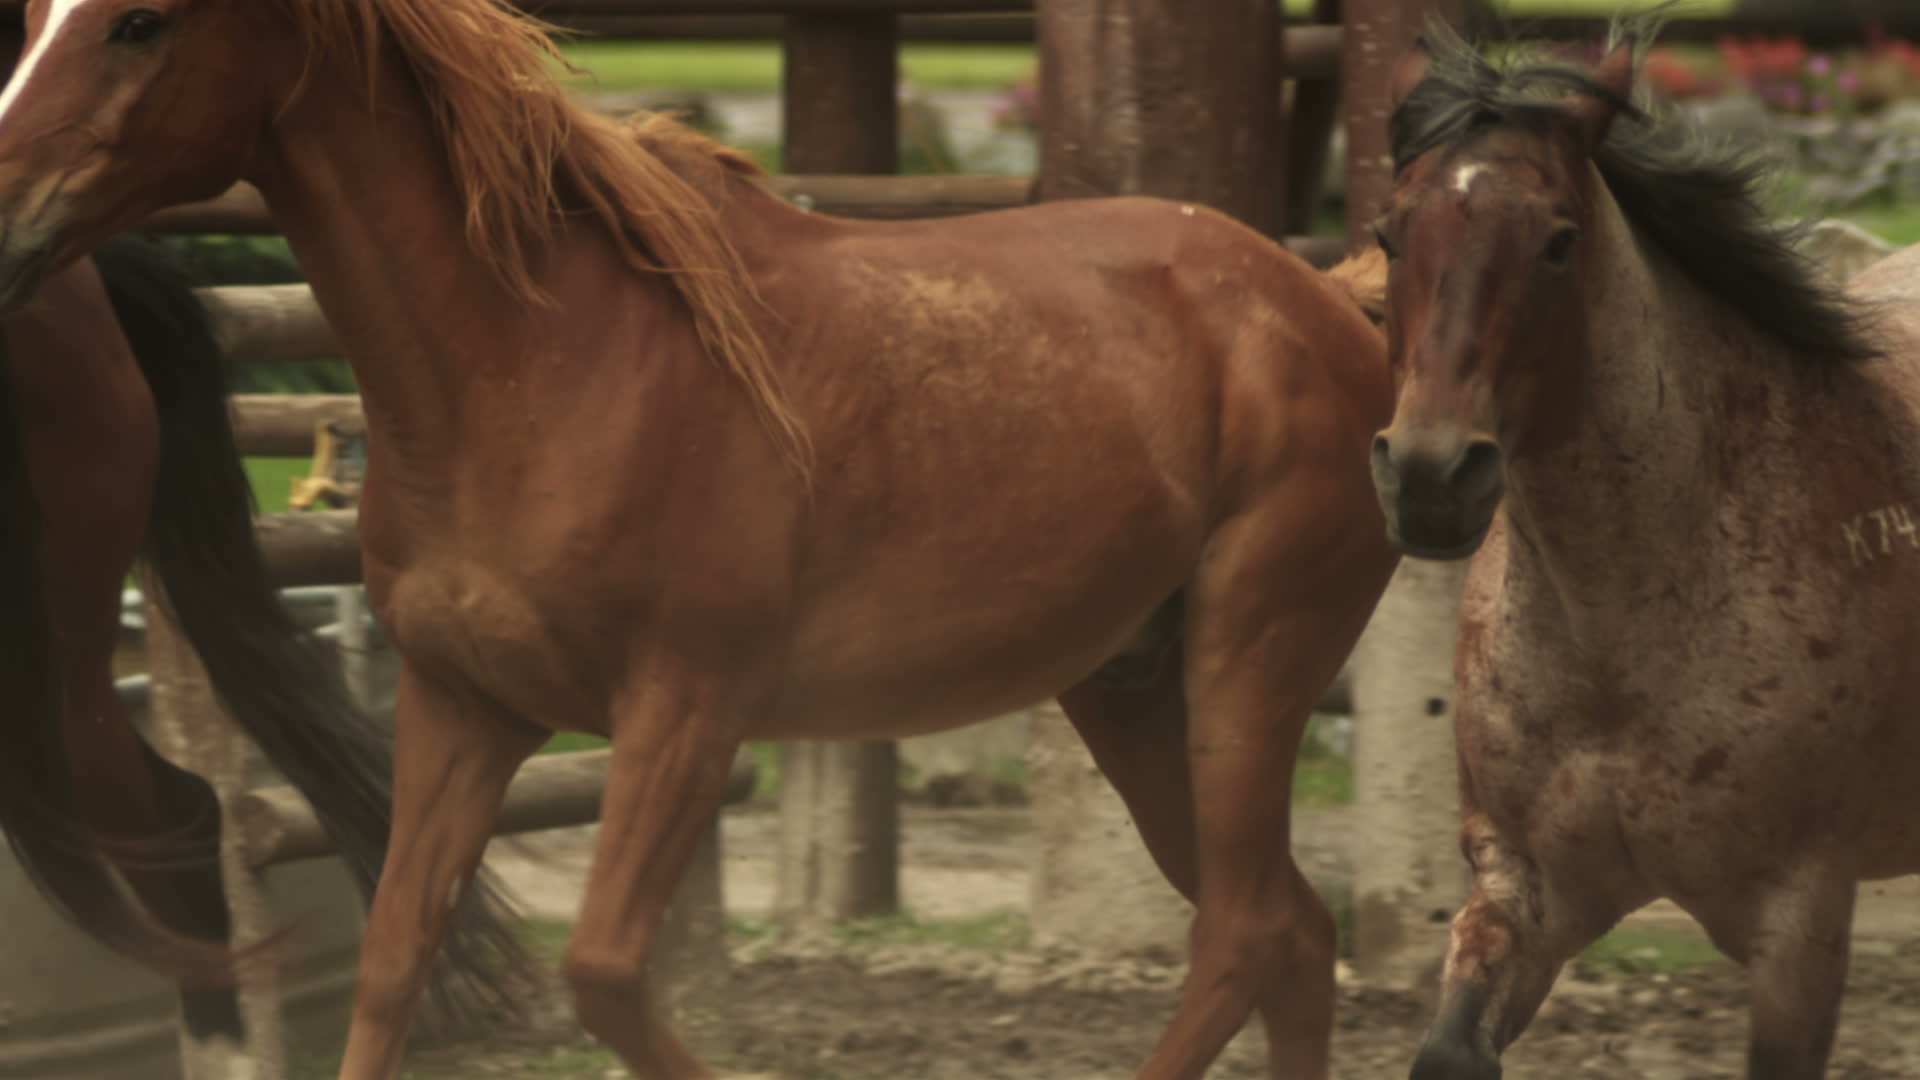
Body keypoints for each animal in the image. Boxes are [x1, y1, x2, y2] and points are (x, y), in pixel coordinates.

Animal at [1374, 16, 1920, 1076]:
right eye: (1388, 233)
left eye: (1558, 241)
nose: (1427, 477)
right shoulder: (1525, 888)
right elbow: (1452, 1047)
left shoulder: (1800, 922)